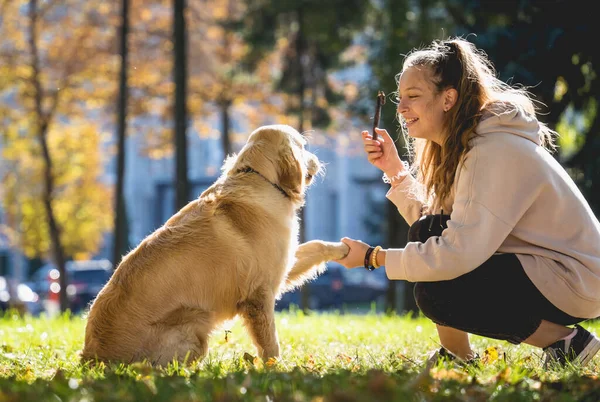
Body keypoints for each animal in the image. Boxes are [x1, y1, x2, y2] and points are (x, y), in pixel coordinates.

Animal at [82, 124, 350, 366]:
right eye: (303, 146)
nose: (317, 159)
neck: (259, 177)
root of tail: (91, 359)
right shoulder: (259, 294)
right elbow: (270, 343)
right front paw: (277, 369)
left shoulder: (281, 265)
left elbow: (317, 245)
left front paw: (345, 249)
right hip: (194, 324)